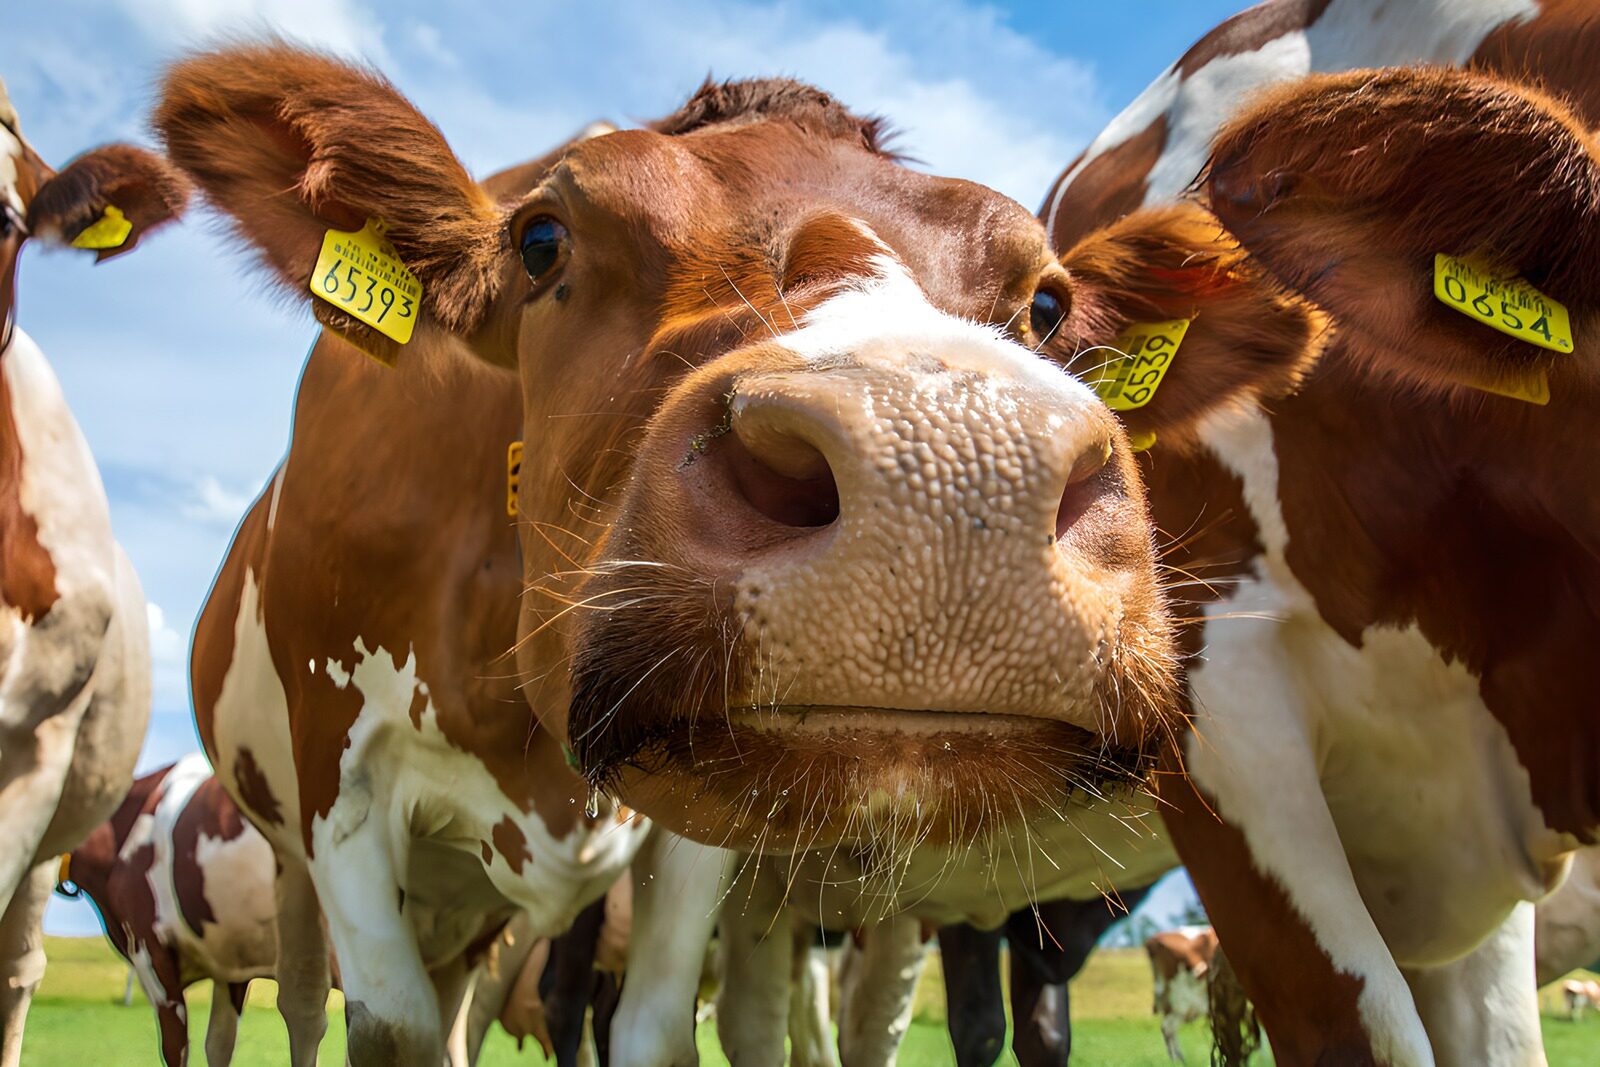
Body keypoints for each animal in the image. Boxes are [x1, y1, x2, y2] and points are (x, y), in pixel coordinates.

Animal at [156, 41, 1341, 1067]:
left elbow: (648, 1029)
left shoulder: (686, 838)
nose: (949, 475)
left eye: (1047, 304)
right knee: (309, 1006)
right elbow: (390, 1030)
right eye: (541, 243)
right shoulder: (337, 785)